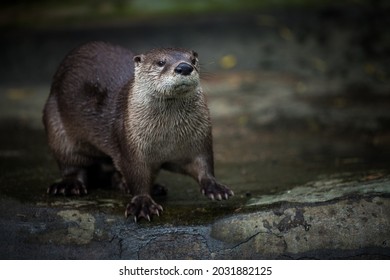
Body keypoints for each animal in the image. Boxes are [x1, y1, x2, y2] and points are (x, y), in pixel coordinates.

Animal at [42, 41, 233, 221]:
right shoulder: (131, 147)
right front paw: (143, 204)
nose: (184, 67)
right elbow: (137, 176)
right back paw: (68, 185)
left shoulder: (199, 140)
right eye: (160, 62)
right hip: (57, 128)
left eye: (193, 60)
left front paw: (215, 187)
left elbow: (203, 164)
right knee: (71, 164)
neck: (167, 139)